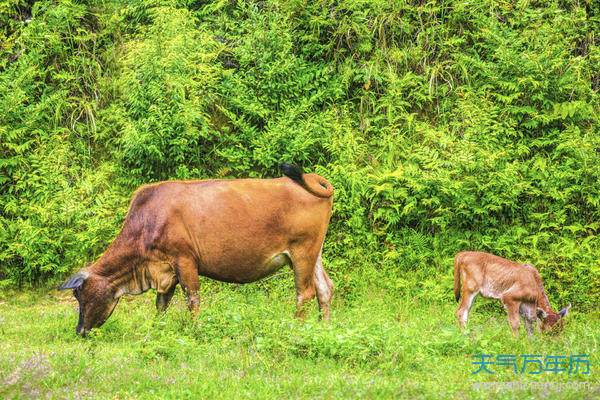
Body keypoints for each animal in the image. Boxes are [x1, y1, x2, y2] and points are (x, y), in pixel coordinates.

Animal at [59, 164, 336, 336]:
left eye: (80, 295)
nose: (79, 330)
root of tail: (312, 178)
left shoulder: (184, 260)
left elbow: (192, 300)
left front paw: (195, 330)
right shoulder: (165, 270)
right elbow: (161, 304)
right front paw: (158, 329)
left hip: (302, 251)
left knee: (305, 292)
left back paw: (297, 328)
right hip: (314, 253)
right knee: (325, 287)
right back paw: (324, 327)